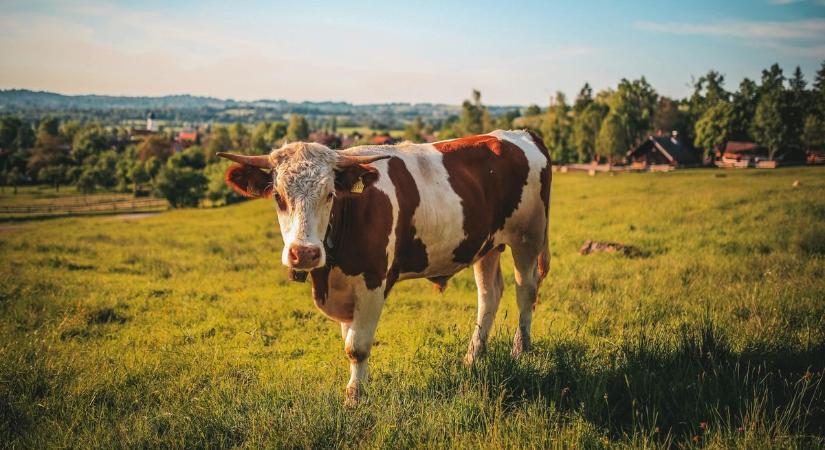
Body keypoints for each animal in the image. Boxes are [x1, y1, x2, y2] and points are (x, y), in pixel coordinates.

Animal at [219, 129, 552, 404]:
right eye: (278, 196)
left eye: (330, 194)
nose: (304, 253)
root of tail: (521, 133)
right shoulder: (345, 292)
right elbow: (349, 339)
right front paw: (357, 387)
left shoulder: (373, 282)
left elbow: (357, 346)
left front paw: (355, 397)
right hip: (487, 246)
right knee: (489, 294)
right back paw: (473, 357)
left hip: (528, 237)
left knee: (526, 291)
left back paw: (521, 350)